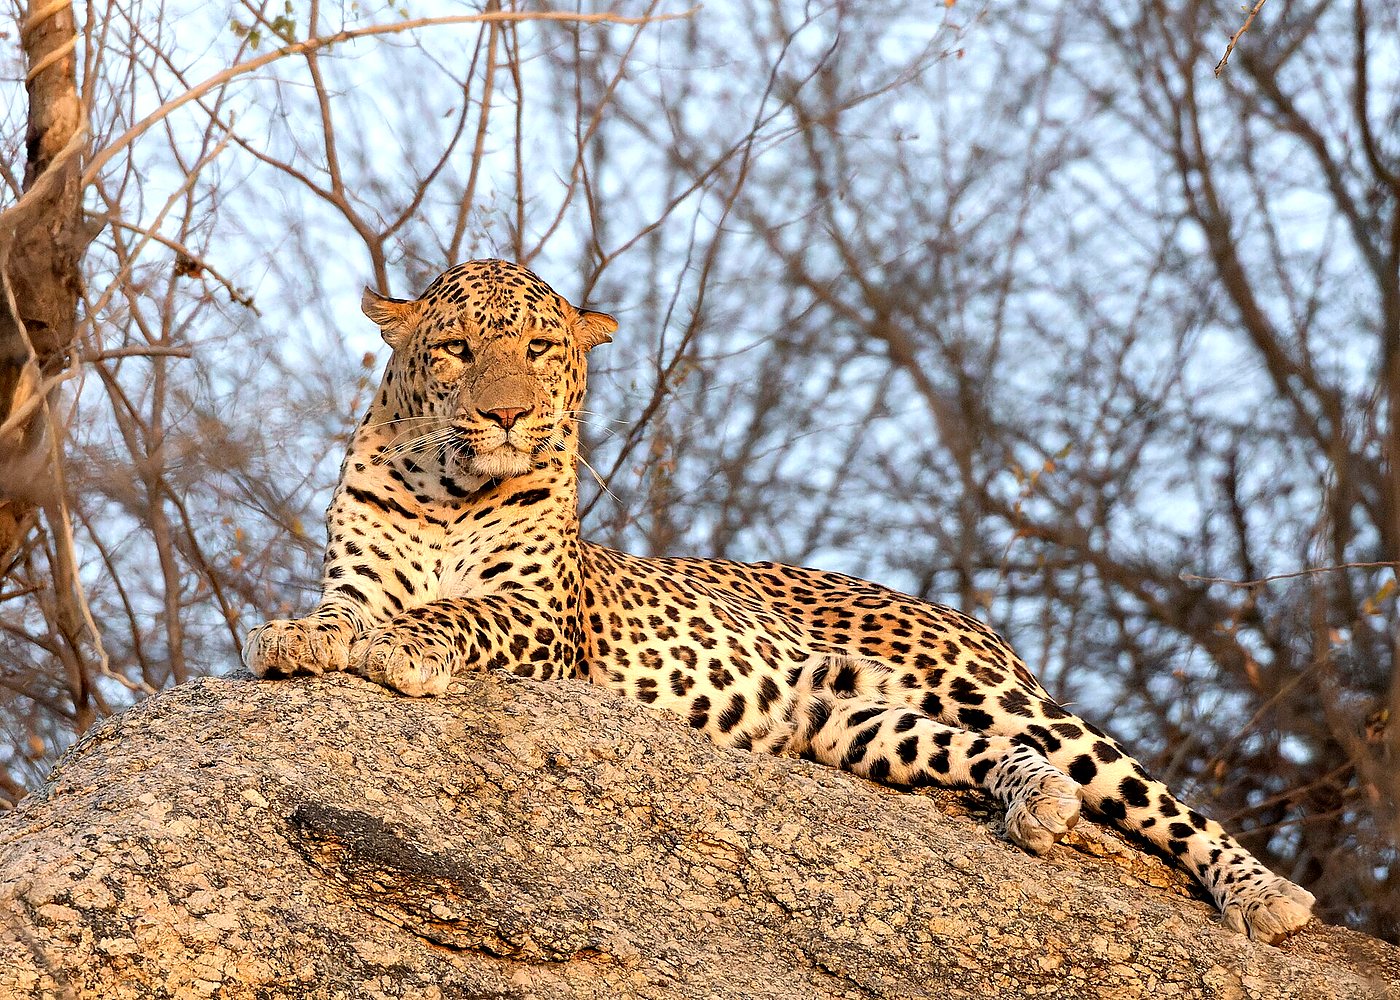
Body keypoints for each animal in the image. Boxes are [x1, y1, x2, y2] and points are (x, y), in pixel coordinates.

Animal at [244, 258, 1316, 944]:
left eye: (542, 348)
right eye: (458, 350)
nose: (507, 414)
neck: (447, 490)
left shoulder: (541, 620)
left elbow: (452, 613)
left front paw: (402, 646)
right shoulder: (357, 575)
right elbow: (343, 613)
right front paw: (296, 637)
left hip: (991, 690)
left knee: (1155, 797)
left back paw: (1264, 896)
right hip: (848, 723)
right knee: (988, 757)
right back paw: (1035, 804)